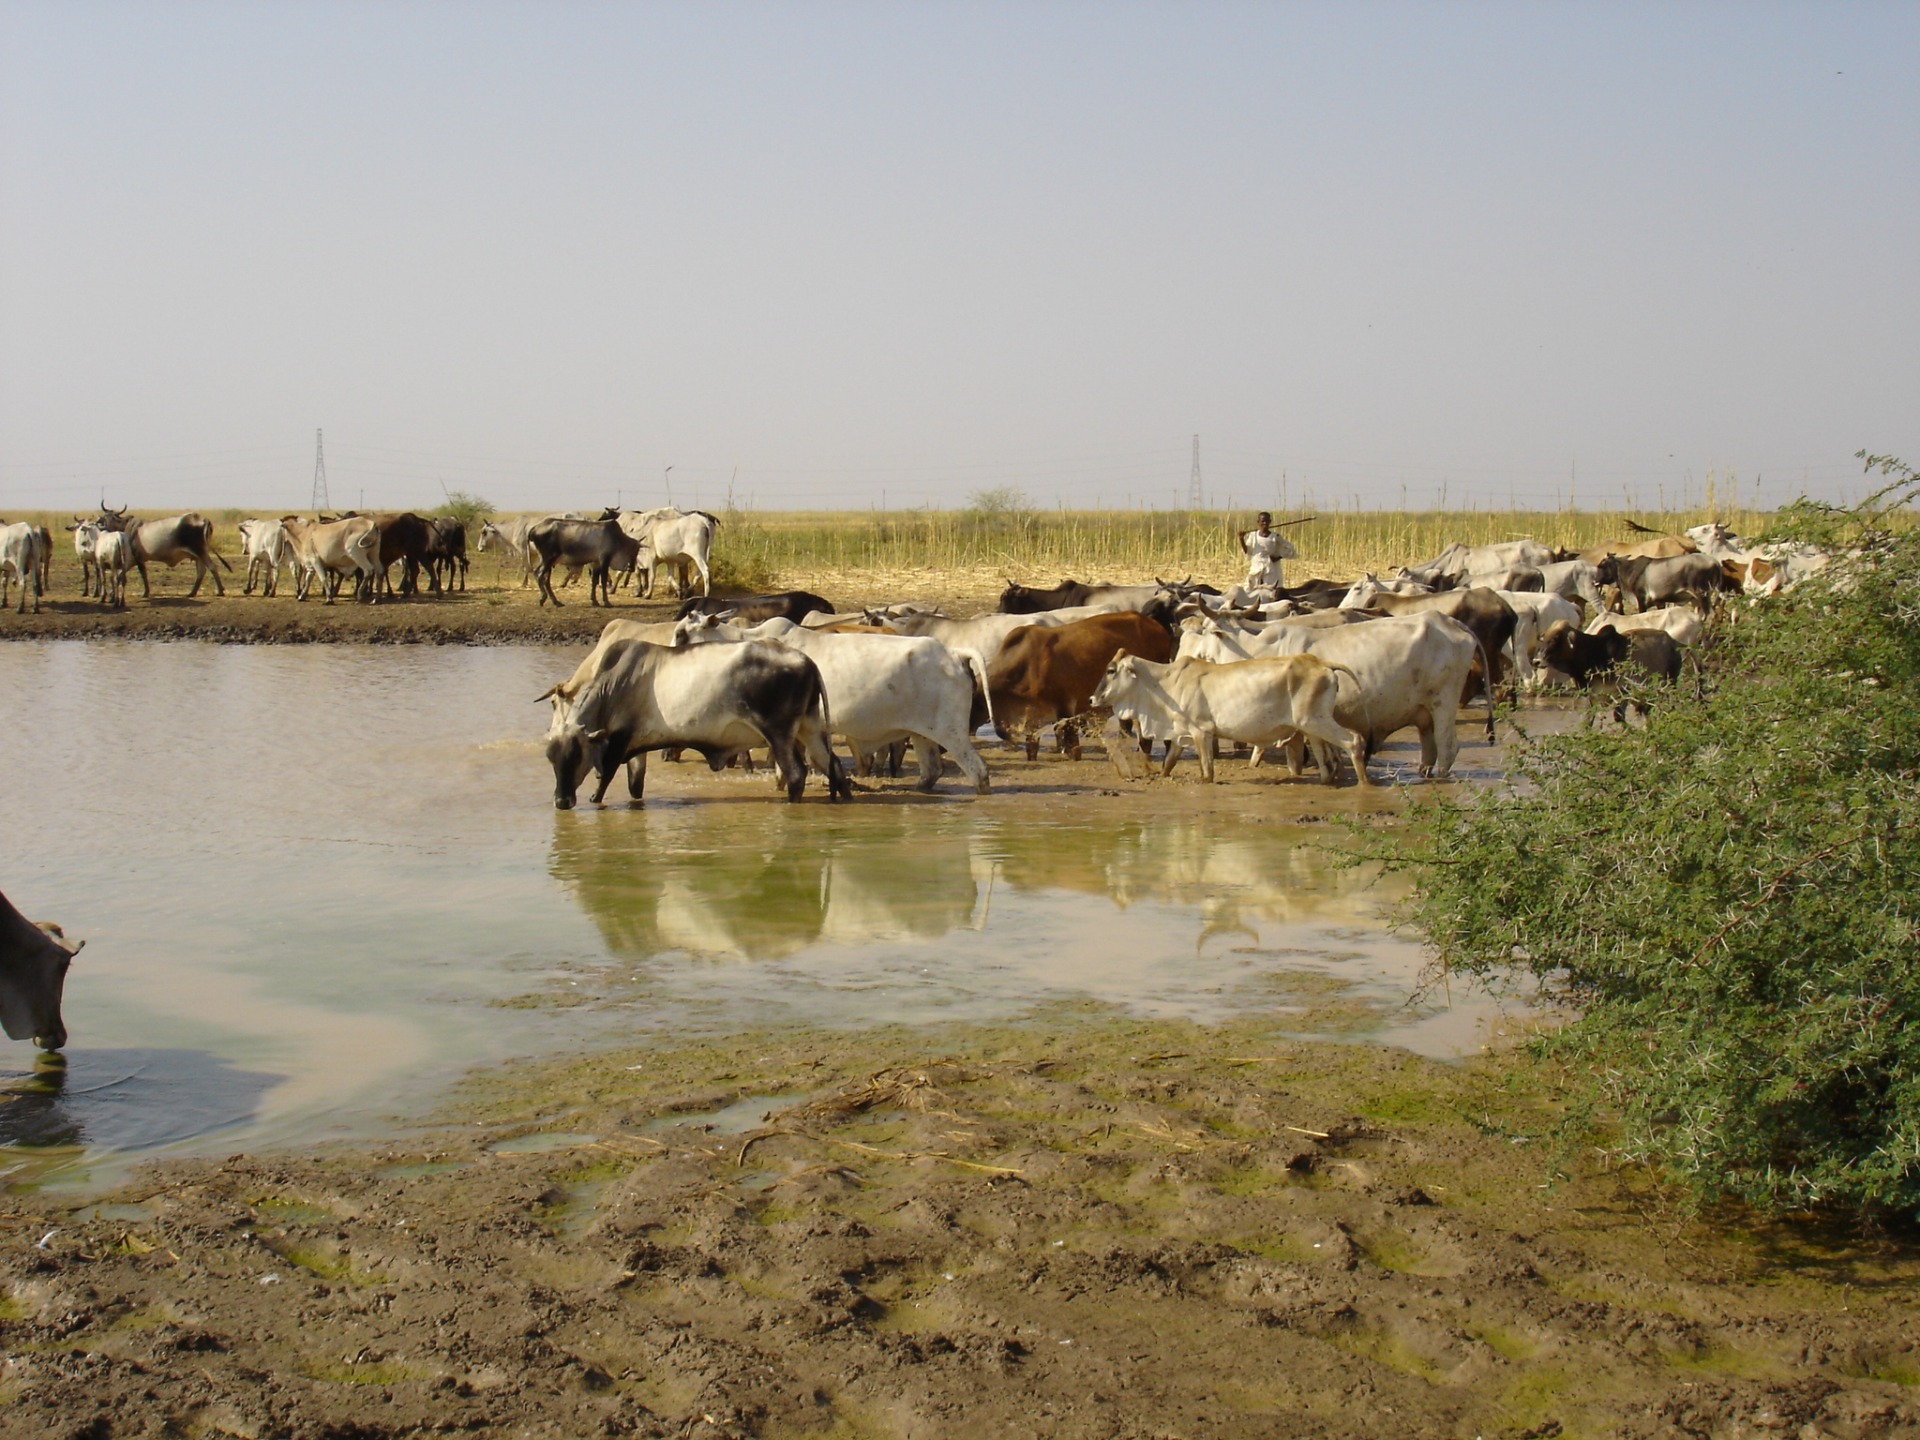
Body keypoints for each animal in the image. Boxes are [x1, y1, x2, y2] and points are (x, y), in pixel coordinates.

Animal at [96, 506, 232, 597]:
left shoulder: (136, 558)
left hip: (200, 551)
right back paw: (192, 592)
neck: (127, 527)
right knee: (201, 572)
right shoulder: (133, 560)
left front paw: (145, 593)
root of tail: (203, 519)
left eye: (107, 518)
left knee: (212, 567)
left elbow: (142, 575)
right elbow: (120, 575)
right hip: (198, 555)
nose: (100, 524)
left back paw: (220, 591)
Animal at [544, 637, 851, 808]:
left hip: (780, 733)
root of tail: (806, 661)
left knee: (797, 773)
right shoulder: (634, 745)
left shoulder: (619, 740)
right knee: (832, 765)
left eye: (576, 755)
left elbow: (605, 777)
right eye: (551, 758)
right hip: (808, 728)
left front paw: (594, 801)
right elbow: (635, 784)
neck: (613, 686)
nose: (561, 802)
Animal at [674, 614, 992, 793]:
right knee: (932, 771)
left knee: (978, 772)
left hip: (951, 732)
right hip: (922, 734)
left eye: (681, 634)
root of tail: (954, 654)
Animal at [986, 611, 1176, 761]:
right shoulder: (1034, 718)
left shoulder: (1065, 703)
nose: (1000, 729)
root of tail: (1159, 629)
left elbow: (1070, 738)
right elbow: (1034, 745)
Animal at [1092, 652, 1370, 786]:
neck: (1165, 683)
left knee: (1354, 741)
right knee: (1327, 761)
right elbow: (1168, 764)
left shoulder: (1202, 731)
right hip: (1313, 728)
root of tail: (1321, 663)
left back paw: (1363, 784)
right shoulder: (1182, 734)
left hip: (1315, 721)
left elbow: (1207, 772)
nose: (1093, 699)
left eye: (1111, 670)